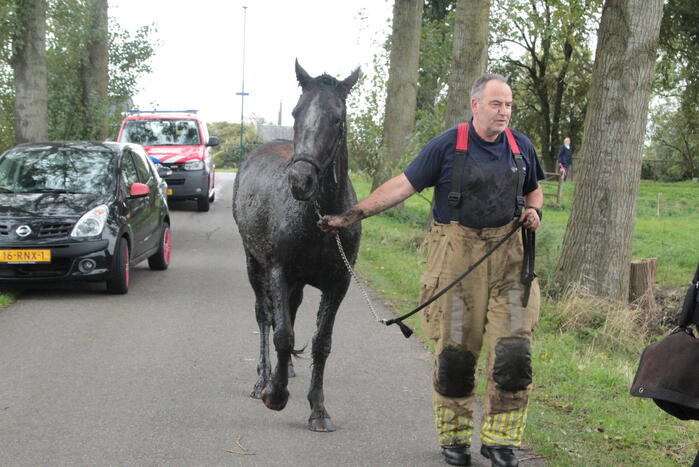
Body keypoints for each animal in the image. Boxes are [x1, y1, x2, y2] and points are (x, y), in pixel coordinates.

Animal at [232, 61, 361, 432]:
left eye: (338, 119)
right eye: (296, 111)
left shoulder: (338, 283)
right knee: (265, 316)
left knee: (288, 310)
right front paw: (275, 394)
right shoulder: (278, 270)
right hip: (253, 264)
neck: (321, 218)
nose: (300, 181)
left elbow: (321, 342)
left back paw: (284, 368)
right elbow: (282, 334)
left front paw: (318, 409)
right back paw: (264, 378)